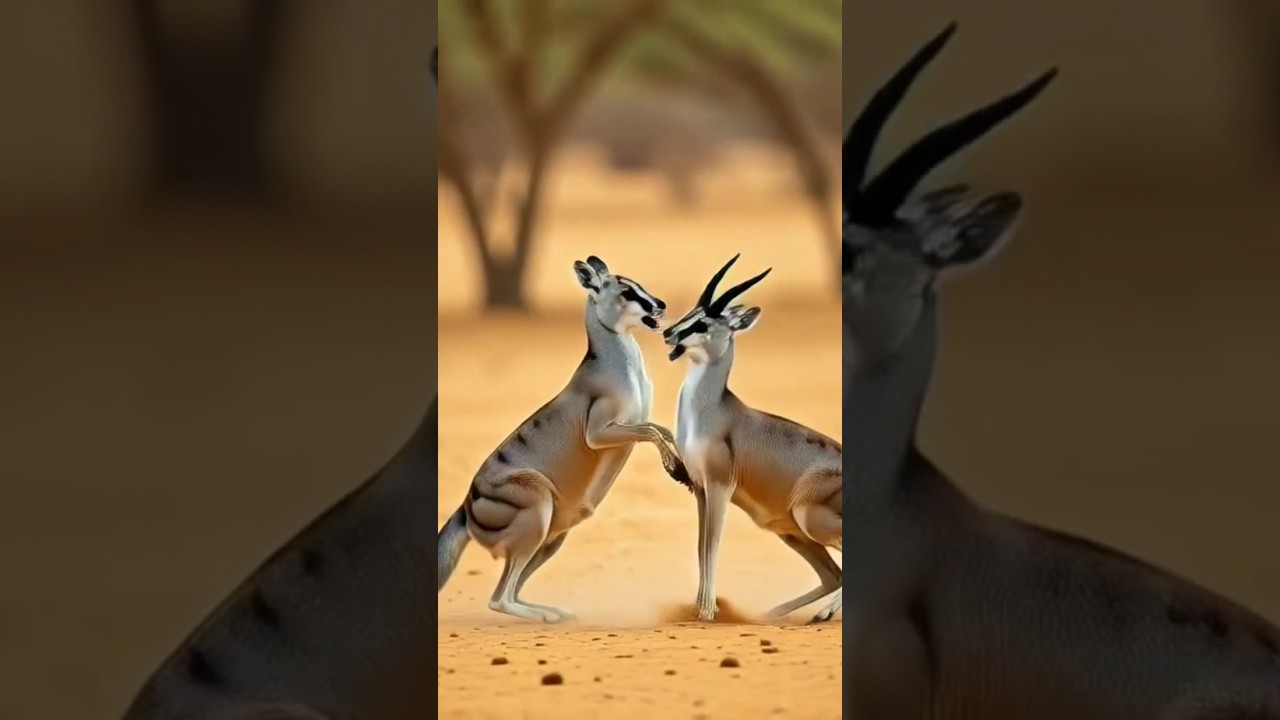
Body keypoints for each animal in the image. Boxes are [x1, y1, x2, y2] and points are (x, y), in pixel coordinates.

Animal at [437, 255, 687, 623]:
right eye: (626, 291)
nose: (660, 305)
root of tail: (467, 506)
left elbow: (660, 429)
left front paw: (680, 460)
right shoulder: (601, 432)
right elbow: (650, 431)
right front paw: (673, 465)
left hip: (552, 538)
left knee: (512, 589)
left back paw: (554, 611)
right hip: (537, 509)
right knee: (499, 599)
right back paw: (545, 616)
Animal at [662, 256, 843, 624]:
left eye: (703, 323)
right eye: (690, 313)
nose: (667, 333)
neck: (710, 414)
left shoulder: (719, 486)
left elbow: (712, 545)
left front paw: (707, 611)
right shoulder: (699, 488)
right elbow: (700, 546)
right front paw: (700, 608)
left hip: (808, 517)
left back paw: (822, 614)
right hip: (790, 532)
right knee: (833, 576)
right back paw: (776, 615)